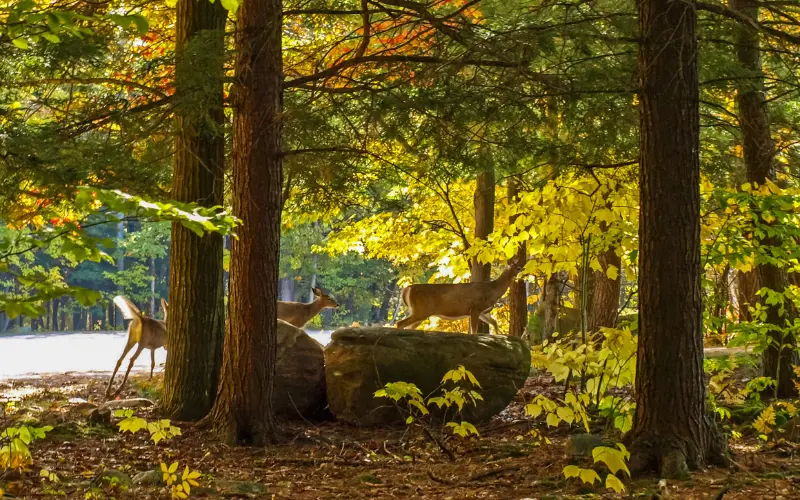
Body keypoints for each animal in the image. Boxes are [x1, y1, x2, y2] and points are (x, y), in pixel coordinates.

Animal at [396, 258, 528, 336]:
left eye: (521, 266)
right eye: (518, 268)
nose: (525, 272)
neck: (492, 290)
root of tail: (406, 289)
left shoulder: (483, 311)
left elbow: (494, 323)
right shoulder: (475, 308)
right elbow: (473, 332)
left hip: (421, 313)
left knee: (408, 326)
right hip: (420, 310)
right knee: (399, 323)